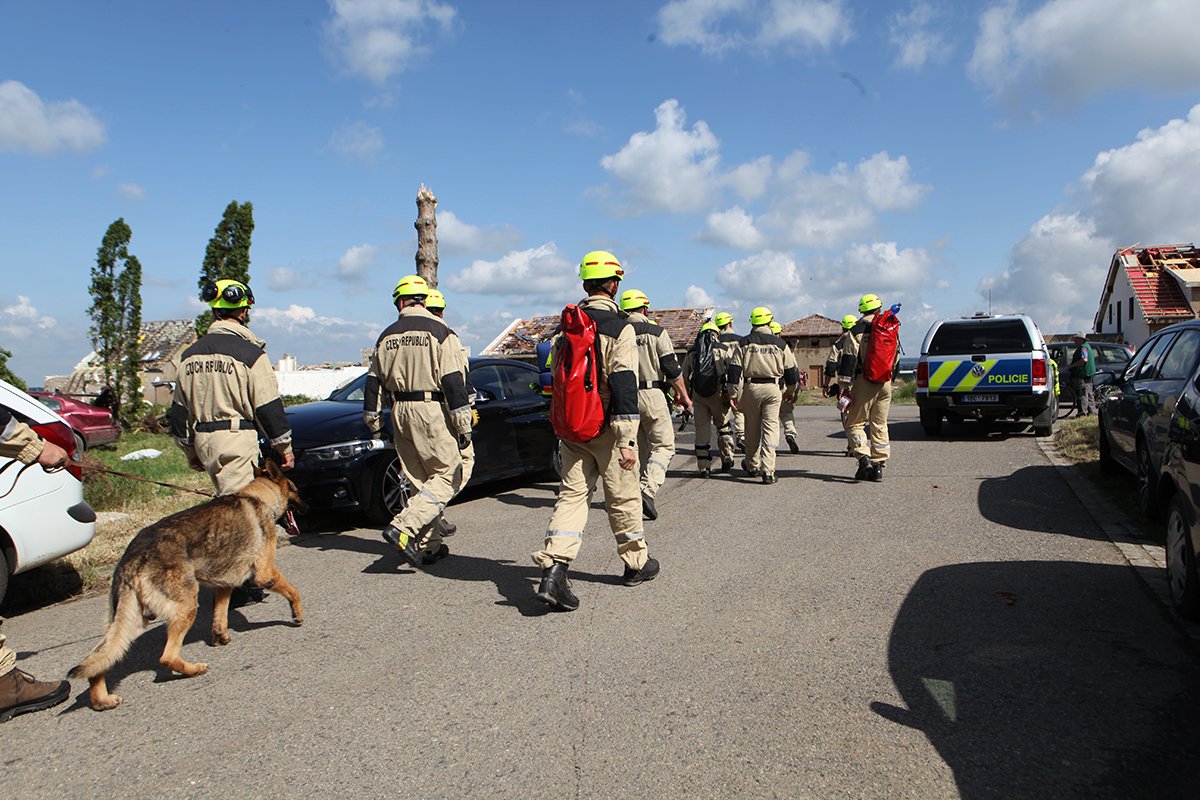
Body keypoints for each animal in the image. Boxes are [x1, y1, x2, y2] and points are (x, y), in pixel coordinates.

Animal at [69, 460, 304, 710]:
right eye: (295, 490)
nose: (308, 507)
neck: (256, 496)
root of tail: (133, 557)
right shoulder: (266, 574)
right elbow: (294, 591)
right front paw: (297, 615)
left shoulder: (224, 584)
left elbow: (220, 614)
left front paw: (220, 636)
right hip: (185, 607)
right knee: (167, 657)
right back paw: (193, 669)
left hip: (128, 621)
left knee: (98, 660)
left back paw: (101, 700)